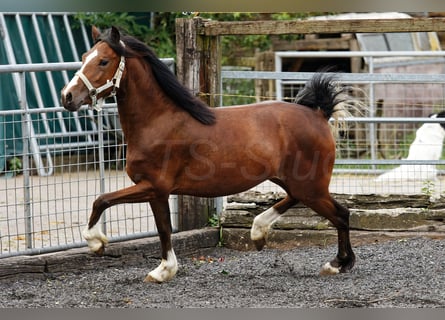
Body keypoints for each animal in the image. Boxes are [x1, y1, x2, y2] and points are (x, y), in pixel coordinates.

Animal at [60, 26, 356, 282]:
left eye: (104, 61)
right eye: (84, 57)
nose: (67, 96)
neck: (157, 121)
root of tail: (319, 114)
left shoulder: (154, 187)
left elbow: (108, 203)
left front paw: (103, 246)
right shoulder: (155, 191)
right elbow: (153, 223)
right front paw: (162, 269)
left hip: (311, 186)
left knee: (341, 214)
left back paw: (337, 264)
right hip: (293, 181)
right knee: (298, 200)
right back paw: (258, 233)